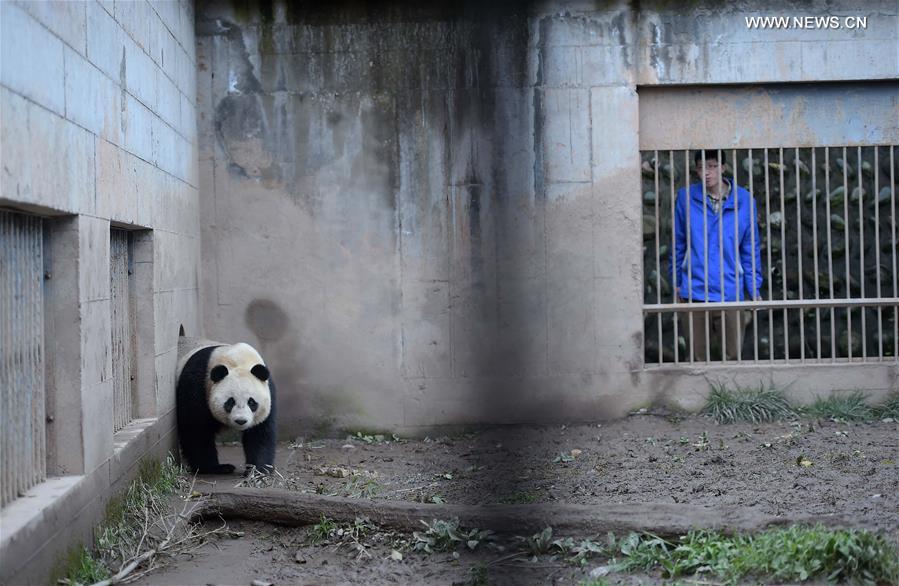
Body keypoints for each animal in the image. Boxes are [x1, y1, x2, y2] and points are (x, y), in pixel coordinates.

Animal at [176, 342, 276, 474]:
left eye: (251, 402)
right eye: (230, 402)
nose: (241, 421)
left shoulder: (269, 391)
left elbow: (260, 433)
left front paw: (257, 470)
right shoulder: (197, 385)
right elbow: (196, 430)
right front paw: (214, 467)